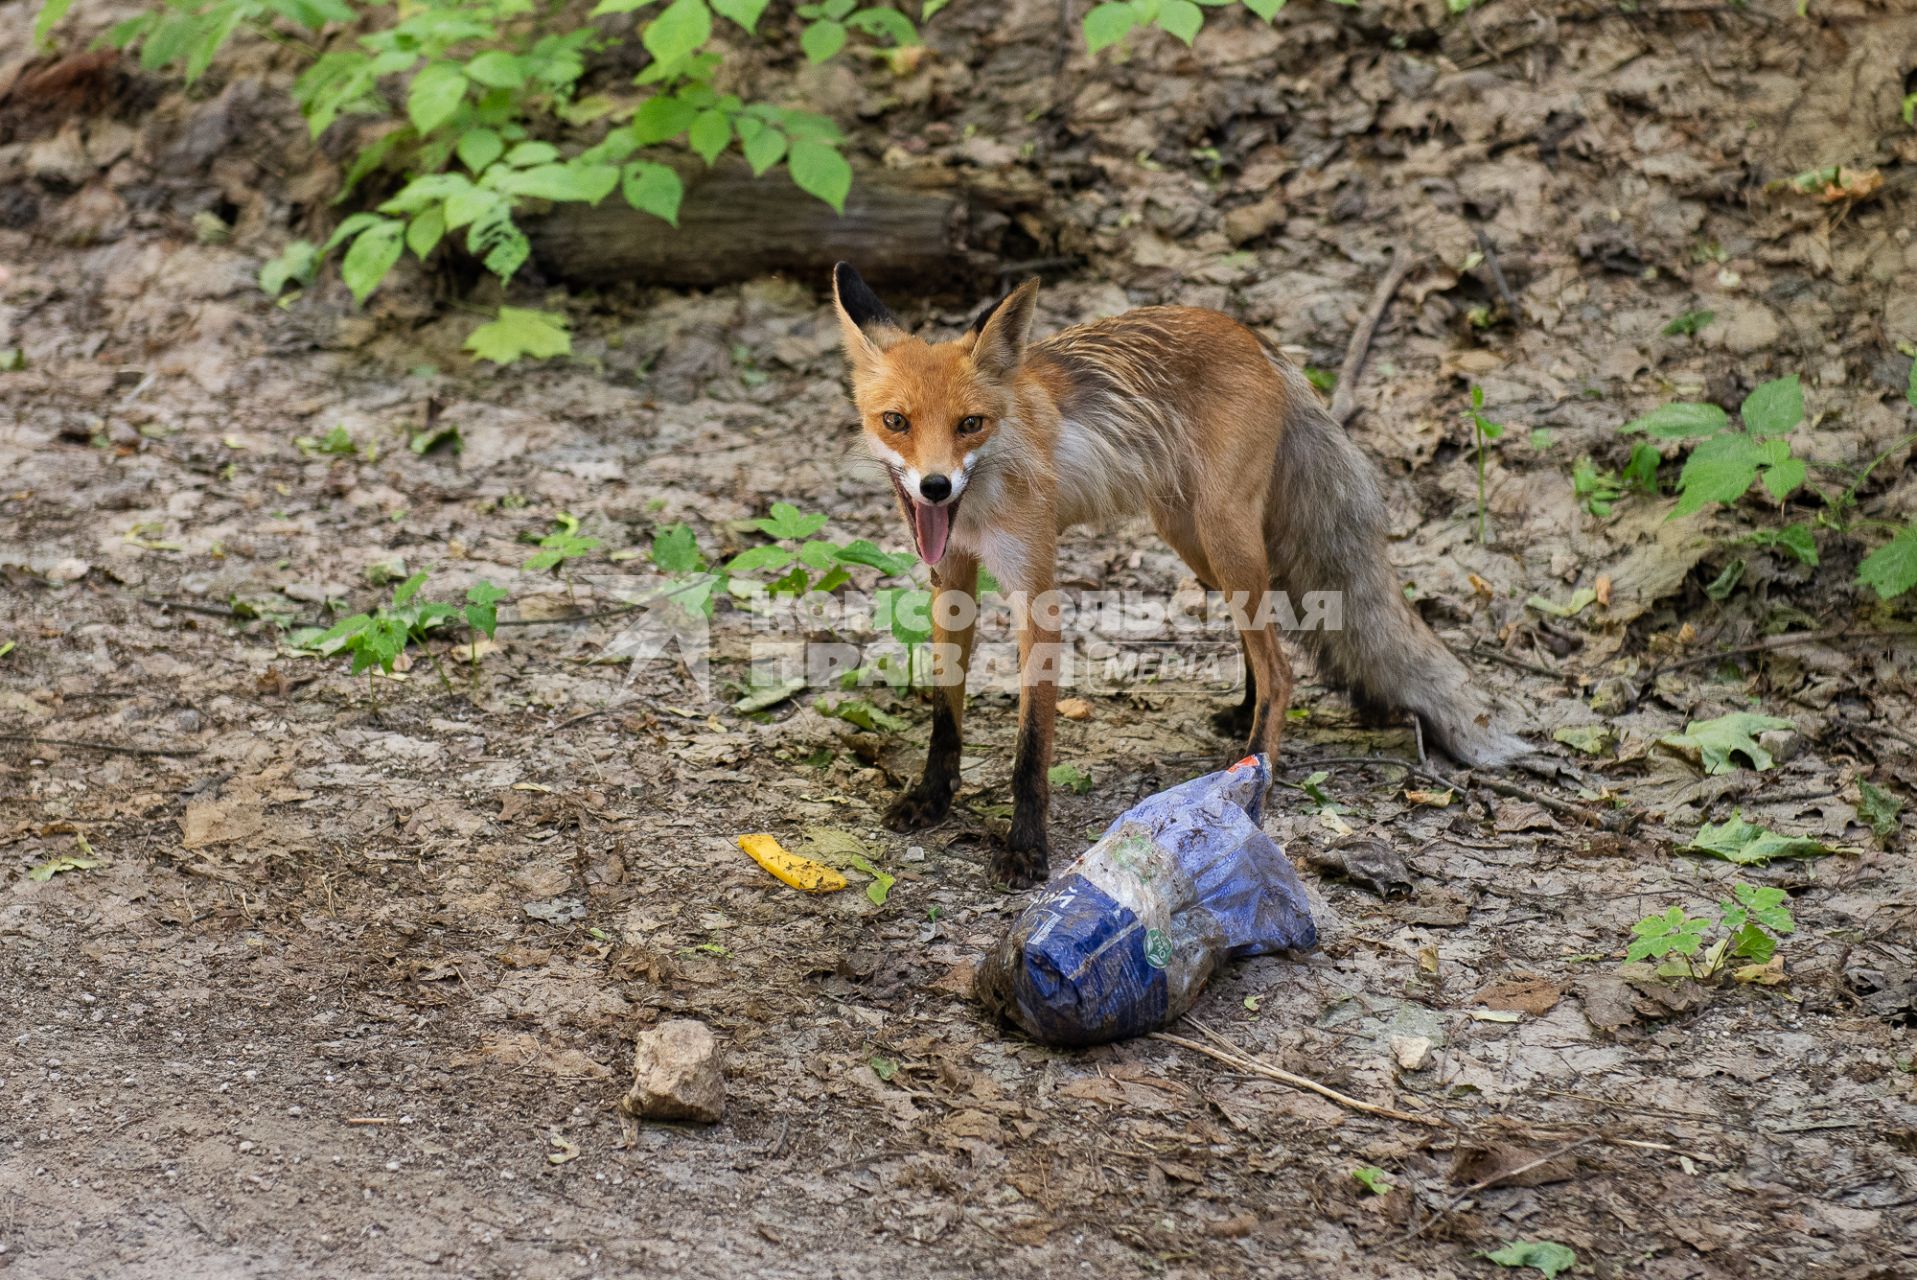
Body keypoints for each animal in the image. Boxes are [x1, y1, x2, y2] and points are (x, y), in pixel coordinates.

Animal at [831, 264, 1518, 885]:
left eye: (970, 424)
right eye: (897, 421)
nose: (935, 486)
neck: (979, 500)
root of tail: (1254, 337)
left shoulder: (1037, 590)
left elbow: (1031, 747)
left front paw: (1025, 849)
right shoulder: (950, 577)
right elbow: (945, 712)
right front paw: (932, 797)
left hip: (1222, 534)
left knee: (1283, 669)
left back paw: (1253, 775)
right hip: (1196, 543)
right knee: (1262, 635)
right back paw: (1241, 716)